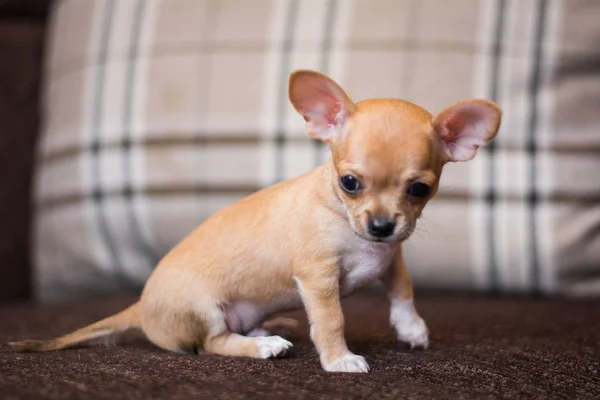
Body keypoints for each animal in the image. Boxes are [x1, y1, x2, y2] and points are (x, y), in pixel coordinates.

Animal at [11, 70, 504, 374]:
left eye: (419, 189)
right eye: (349, 182)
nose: (381, 226)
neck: (349, 225)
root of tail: (141, 306)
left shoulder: (392, 256)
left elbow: (403, 289)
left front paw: (411, 327)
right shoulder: (318, 278)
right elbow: (331, 320)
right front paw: (339, 360)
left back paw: (271, 328)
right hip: (204, 310)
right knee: (214, 343)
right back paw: (263, 346)